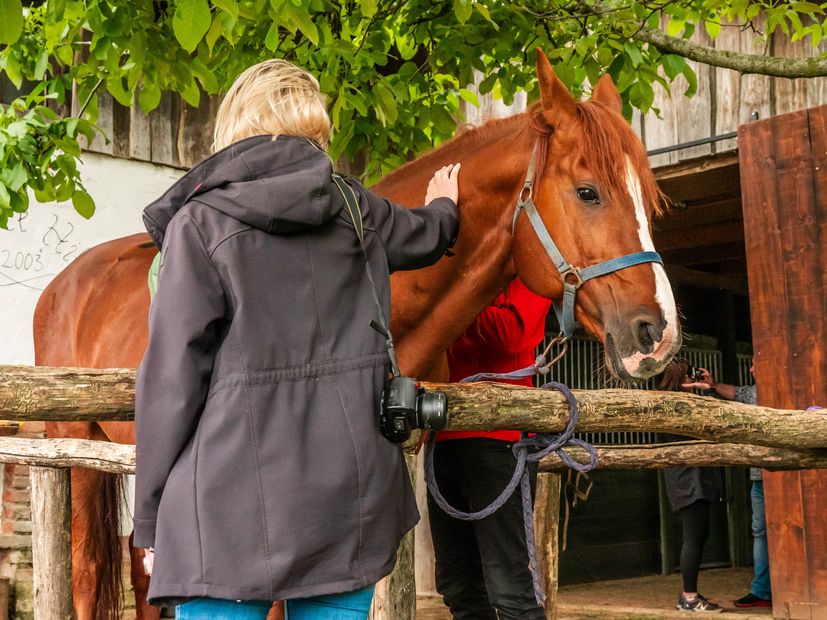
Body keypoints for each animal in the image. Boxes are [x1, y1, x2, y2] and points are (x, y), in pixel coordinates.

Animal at [34, 50, 680, 616]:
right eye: (587, 191)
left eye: (650, 199)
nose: (659, 332)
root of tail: (64, 284)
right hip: (75, 446)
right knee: (90, 575)